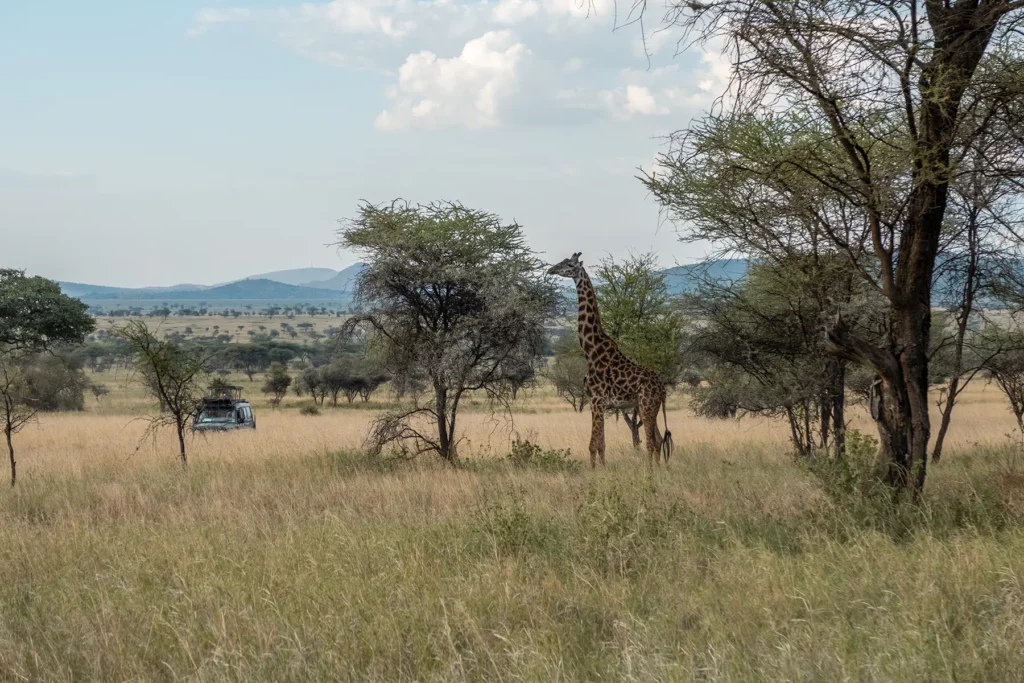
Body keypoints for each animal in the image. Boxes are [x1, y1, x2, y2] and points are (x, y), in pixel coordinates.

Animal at [547, 252, 673, 468]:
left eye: (570, 265)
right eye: (562, 262)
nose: (551, 269)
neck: (591, 351)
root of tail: (662, 389)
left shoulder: (596, 400)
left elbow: (593, 445)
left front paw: (595, 472)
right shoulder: (599, 403)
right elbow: (602, 444)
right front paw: (603, 469)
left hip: (647, 405)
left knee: (651, 442)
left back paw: (649, 471)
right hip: (651, 407)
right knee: (658, 440)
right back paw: (658, 469)